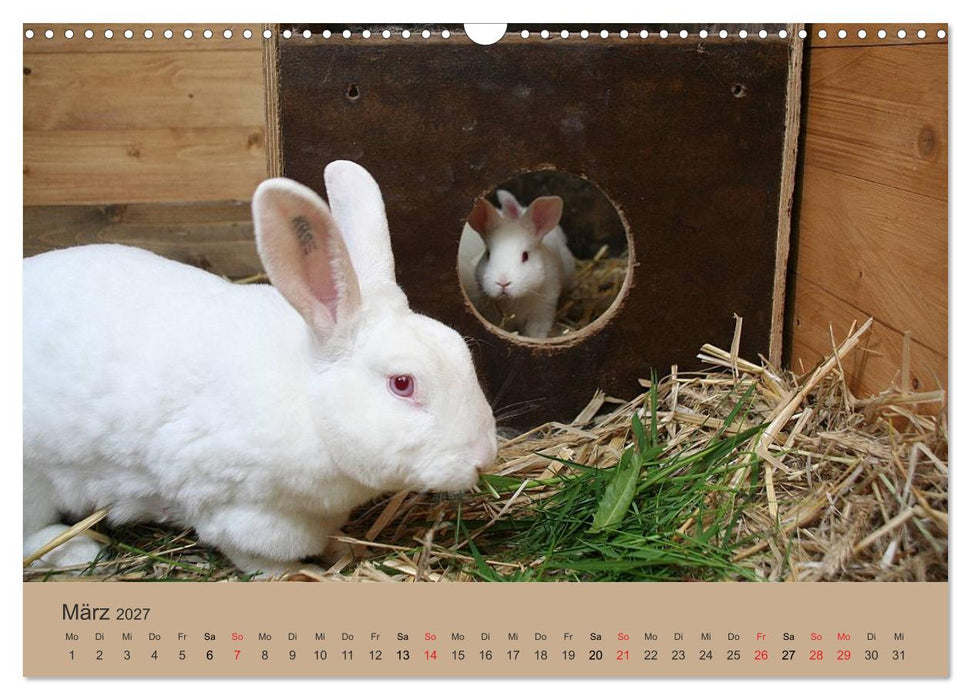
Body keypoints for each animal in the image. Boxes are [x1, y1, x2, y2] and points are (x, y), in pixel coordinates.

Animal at [23, 160, 498, 576]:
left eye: (461, 350)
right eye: (402, 383)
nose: (484, 458)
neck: (311, 403)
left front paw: (345, 549)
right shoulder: (238, 509)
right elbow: (256, 557)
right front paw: (301, 573)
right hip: (34, 486)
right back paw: (77, 550)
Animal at [465, 191, 576, 339]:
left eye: (525, 256)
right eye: (488, 254)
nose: (503, 282)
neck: (516, 301)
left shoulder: (542, 313)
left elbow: (536, 333)